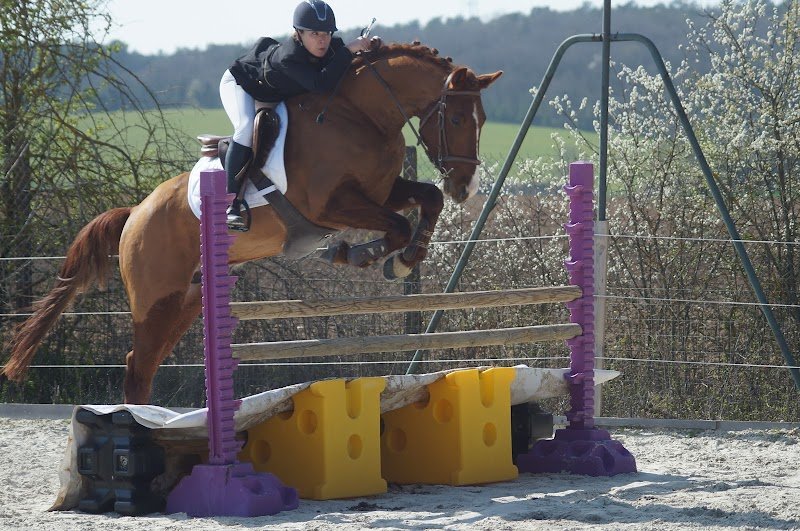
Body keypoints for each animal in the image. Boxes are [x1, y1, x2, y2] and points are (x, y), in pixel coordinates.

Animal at [2, 42, 502, 404]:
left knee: (143, 363)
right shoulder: (330, 204)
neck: (360, 115)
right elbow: (394, 225)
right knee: (138, 366)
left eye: (482, 119)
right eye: (459, 117)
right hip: (155, 299)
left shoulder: (379, 192)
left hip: (186, 301)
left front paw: (406, 258)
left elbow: (426, 199)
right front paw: (363, 254)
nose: (465, 187)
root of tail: (134, 214)